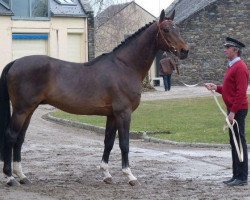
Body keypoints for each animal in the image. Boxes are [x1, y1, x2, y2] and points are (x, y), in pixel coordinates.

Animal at [0, 9, 188, 187]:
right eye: (166, 29)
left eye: (178, 28)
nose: (185, 51)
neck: (125, 66)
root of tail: (15, 62)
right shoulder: (123, 113)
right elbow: (124, 144)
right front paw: (130, 176)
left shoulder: (112, 115)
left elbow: (108, 142)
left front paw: (106, 174)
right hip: (21, 110)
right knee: (10, 136)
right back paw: (10, 177)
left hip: (29, 110)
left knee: (20, 138)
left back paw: (22, 176)